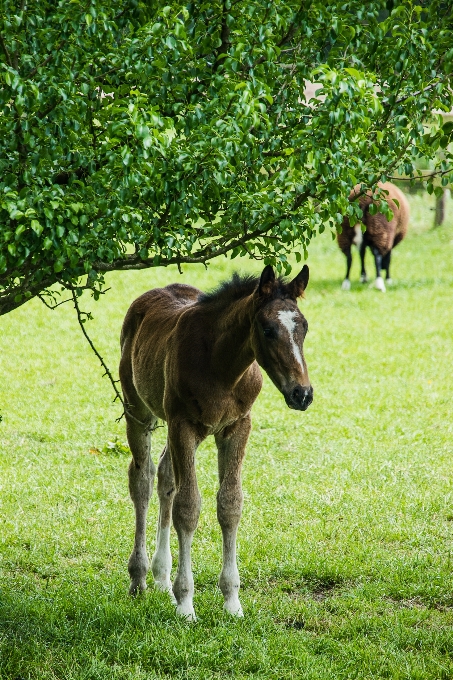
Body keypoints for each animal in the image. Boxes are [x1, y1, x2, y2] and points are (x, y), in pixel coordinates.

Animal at [118, 262, 312, 620]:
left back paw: (161, 579)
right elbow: (188, 507)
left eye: (303, 327)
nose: (302, 394)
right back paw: (139, 578)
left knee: (165, 476)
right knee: (142, 479)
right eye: (267, 329)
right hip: (139, 410)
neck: (222, 367)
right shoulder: (183, 425)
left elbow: (230, 504)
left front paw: (232, 601)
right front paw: (186, 603)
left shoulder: (236, 426)